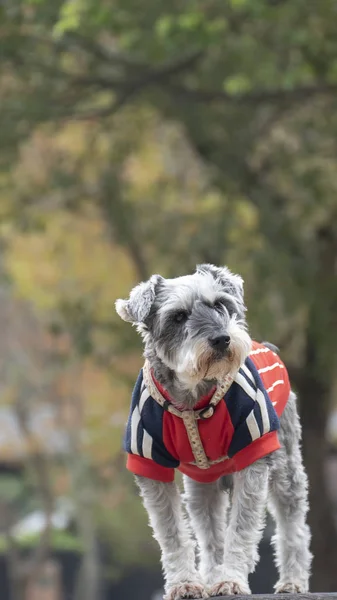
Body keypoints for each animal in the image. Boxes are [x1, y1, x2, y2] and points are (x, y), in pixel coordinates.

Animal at [115, 264, 310, 596]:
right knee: (210, 533)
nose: (222, 339)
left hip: (285, 467)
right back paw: (210, 575)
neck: (192, 398)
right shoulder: (150, 465)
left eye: (220, 304)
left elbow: (242, 528)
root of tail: (268, 346)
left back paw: (292, 581)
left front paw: (231, 579)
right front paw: (185, 583)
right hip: (200, 484)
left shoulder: (254, 456)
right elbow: (172, 534)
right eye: (178, 316)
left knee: (292, 522)